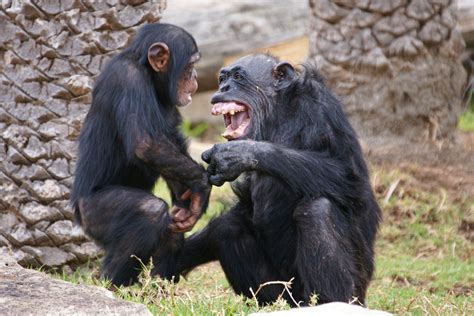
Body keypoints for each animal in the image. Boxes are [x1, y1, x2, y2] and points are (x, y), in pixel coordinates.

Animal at [70, 24, 209, 286]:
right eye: (191, 65)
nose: (196, 77)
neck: (149, 74)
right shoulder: (128, 79)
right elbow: (147, 144)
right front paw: (202, 188)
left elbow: (169, 145)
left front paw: (191, 204)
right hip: (92, 214)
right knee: (149, 211)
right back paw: (111, 285)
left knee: (170, 230)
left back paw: (155, 287)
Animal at [176, 55, 384, 306]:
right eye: (222, 79)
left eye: (238, 76)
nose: (224, 88)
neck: (278, 113)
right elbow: (243, 207)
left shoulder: (321, 111)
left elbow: (347, 175)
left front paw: (237, 154)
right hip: (281, 291)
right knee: (226, 227)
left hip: (354, 289)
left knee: (317, 212)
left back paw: (330, 302)